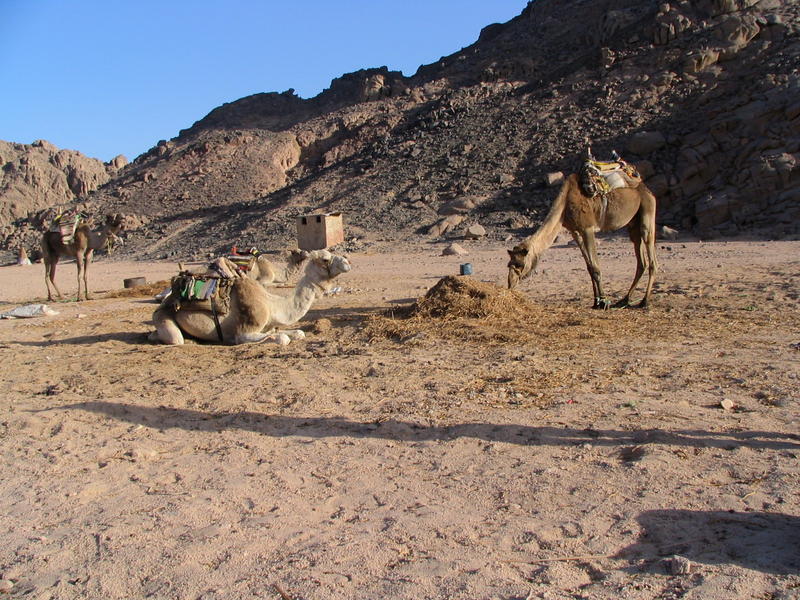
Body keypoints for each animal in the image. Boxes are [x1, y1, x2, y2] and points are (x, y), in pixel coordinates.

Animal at [151, 247, 350, 342]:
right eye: (325, 259)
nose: (347, 262)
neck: (272, 305)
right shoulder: (244, 332)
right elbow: (283, 339)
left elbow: (298, 333)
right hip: (162, 316)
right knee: (176, 338)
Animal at [506, 171, 656, 308]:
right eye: (509, 264)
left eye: (519, 264)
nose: (510, 284)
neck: (565, 205)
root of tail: (646, 188)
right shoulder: (575, 232)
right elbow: (589, 267)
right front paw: (596, 302)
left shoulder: (587, 228)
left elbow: (595, 267)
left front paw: (604, 302)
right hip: (633, 224)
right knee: (641, 260)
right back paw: (624, 300)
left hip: (647, 211)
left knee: (650, 254)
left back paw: (644, 302)